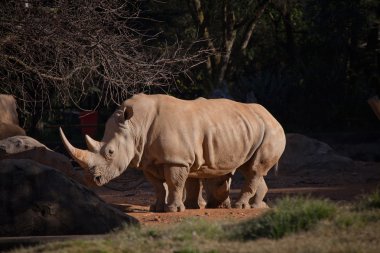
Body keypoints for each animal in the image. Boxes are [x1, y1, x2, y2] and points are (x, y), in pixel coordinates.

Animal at [60, 93, 284, 211]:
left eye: (110, 152)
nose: (93, 180)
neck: (135, 127)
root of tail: (273, 116)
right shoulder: (147, 159)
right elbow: (158, 186)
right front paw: (157, 208)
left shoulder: (176, 159)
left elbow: (175, 182)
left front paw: (174, 210)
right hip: (250, 128)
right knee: (250, 168)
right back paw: (257, 207)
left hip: (271, 131)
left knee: (253, 169)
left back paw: (240, 207)